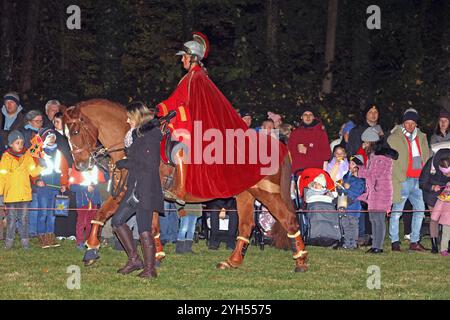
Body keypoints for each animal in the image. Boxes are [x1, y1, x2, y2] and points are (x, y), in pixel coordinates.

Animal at [63, 99, 308, 272]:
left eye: (75, 131)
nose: (81, 164)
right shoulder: (135, 193)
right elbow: (134, 222)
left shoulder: (131, 192)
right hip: (245, 194)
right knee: (247, 225)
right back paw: (233, 261)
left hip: (266, 192)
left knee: (289, 220)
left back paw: (301, 262)